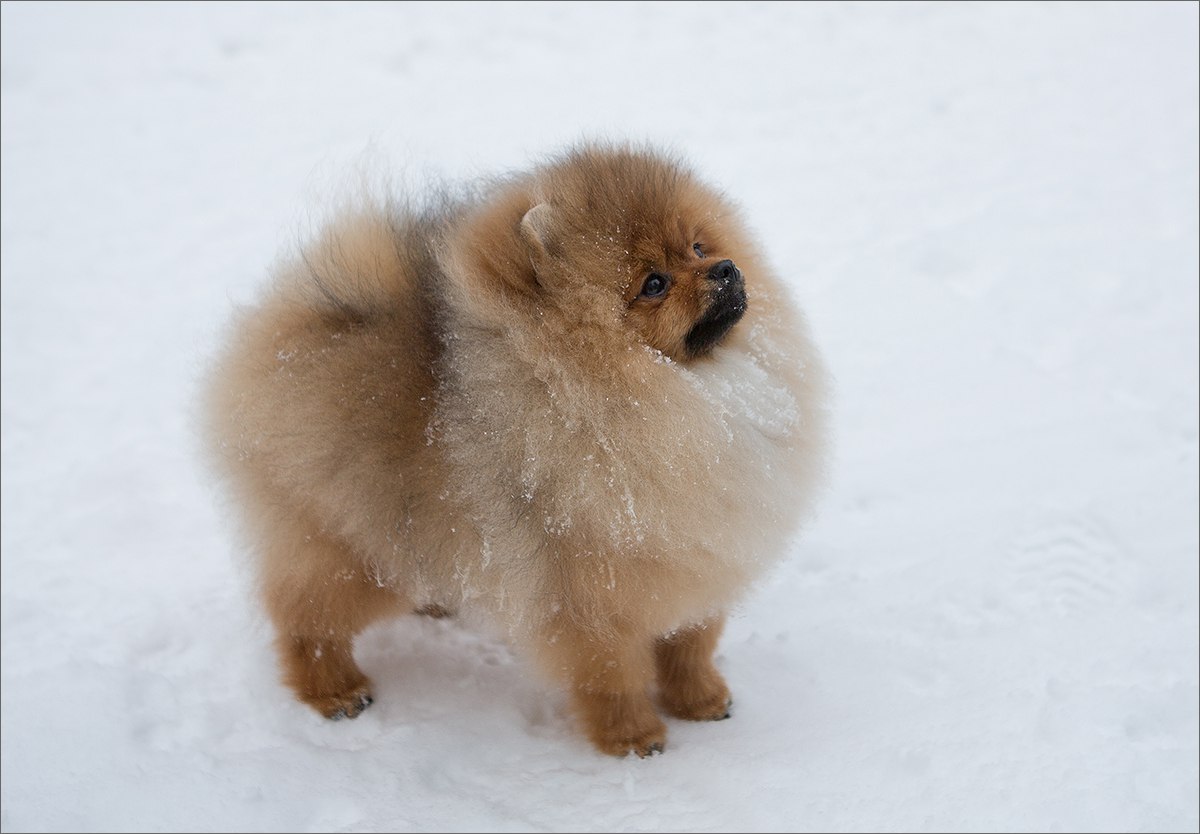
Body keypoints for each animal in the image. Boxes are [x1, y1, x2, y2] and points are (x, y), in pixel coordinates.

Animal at [204, 142, 825, 758]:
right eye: (654, 284)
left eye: (699, 246)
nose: (726, 268)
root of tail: (301, 325)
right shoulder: (591, 599)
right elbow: (613, 675)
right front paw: (632, 737)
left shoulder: (699, 561)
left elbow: (690, 646)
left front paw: (701, 700)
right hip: (353, 553)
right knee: (304, 617)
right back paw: (334, 690)